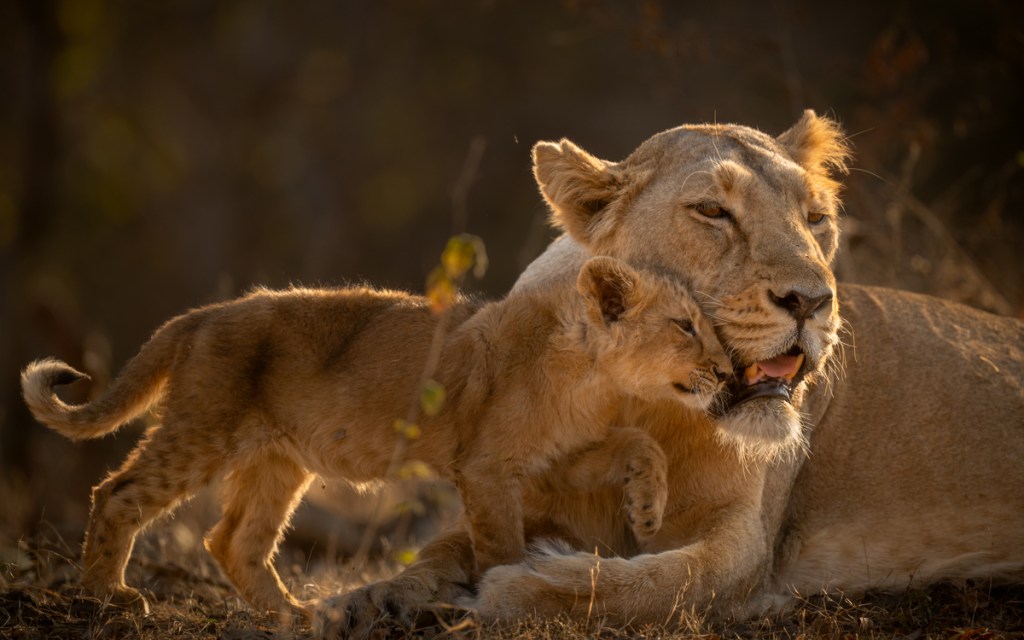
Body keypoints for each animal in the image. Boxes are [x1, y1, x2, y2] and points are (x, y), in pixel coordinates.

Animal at [21, 255, 730, 618]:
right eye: (685, 326)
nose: (727, 370)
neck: (592, 376)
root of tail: (196, 316)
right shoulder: (486, 468)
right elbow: (500, 543)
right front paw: (502, 593)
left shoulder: (560, 458)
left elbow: (642, 444)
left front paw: (647, 509)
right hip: (203, 430)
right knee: (118, 493)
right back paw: (108, 596)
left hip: (279, 461)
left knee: (233, 541)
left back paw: (296, 618)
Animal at [313, 110, 1024, 638]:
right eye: (712, 212)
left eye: (817, 217)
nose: (813, 302)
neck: (631, 396)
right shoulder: (514, 481)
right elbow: (438, 548)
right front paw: (370, 598)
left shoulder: (746, 548)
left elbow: (650, 583)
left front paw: (519, 582)